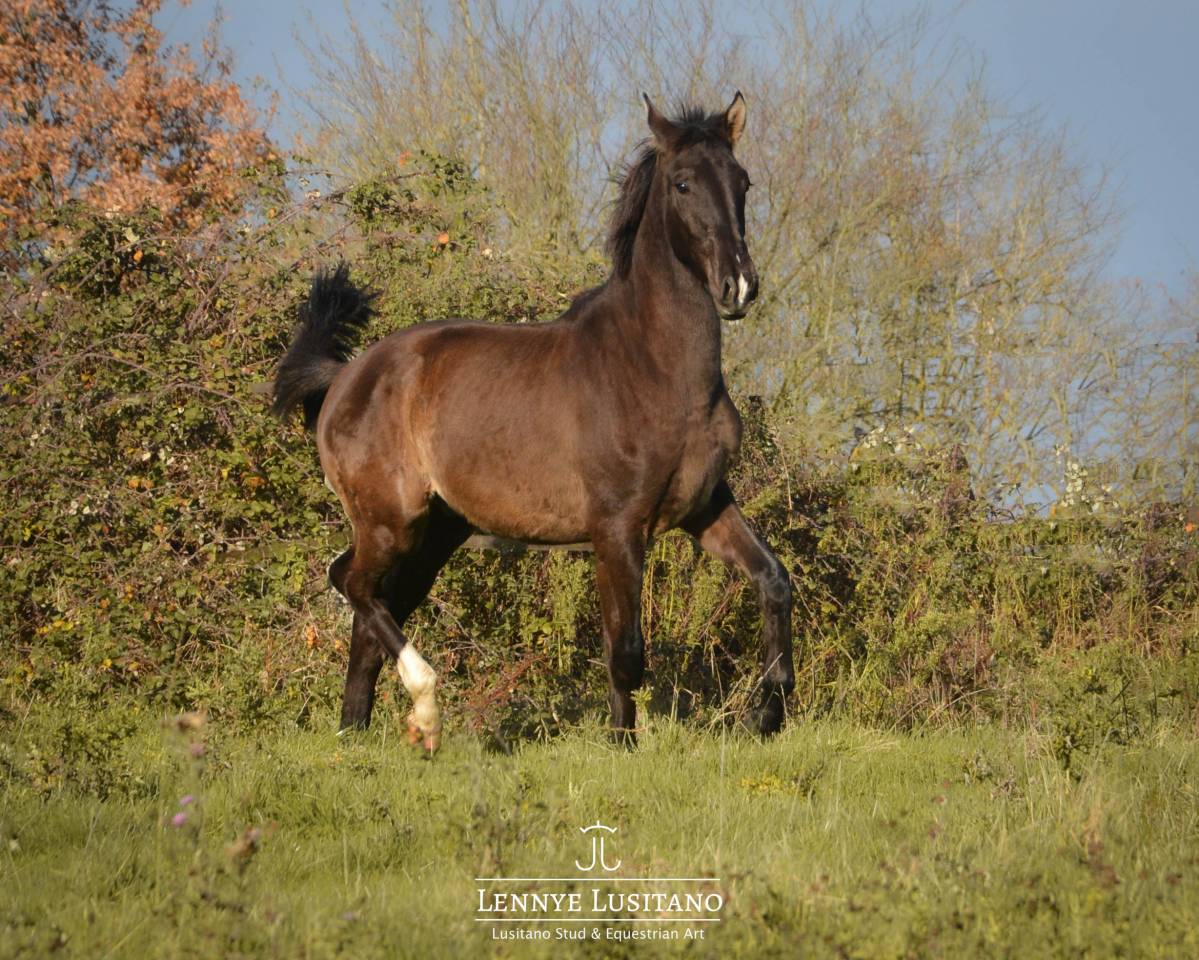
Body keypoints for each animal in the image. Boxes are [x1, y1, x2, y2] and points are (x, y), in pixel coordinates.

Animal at [272, 92, 794, 752]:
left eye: (742, 181)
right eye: (682, 183)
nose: (739, 286)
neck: (654, 369)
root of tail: (344, 377)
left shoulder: (704, 508)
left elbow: (773, 579)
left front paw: (769, 714)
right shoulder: (617, 529)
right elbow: (625, 650)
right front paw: (623, 746)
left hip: (435, 533)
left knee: (373, 614)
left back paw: (360, 734)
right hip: (391, 521)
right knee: (352, 582)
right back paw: (424, 704)